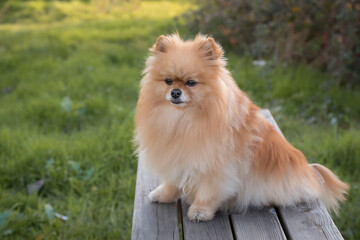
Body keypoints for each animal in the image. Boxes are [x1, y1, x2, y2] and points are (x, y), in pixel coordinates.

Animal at [134, 33, 348, 221]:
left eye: (191, 83)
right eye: (168, 81)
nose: (175, 92)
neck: (183, 120)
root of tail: (309, 172)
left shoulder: (216, 167)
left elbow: (208, 191)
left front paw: (200, 211)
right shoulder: (176, 157)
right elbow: (172, 181)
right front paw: (163, 194)